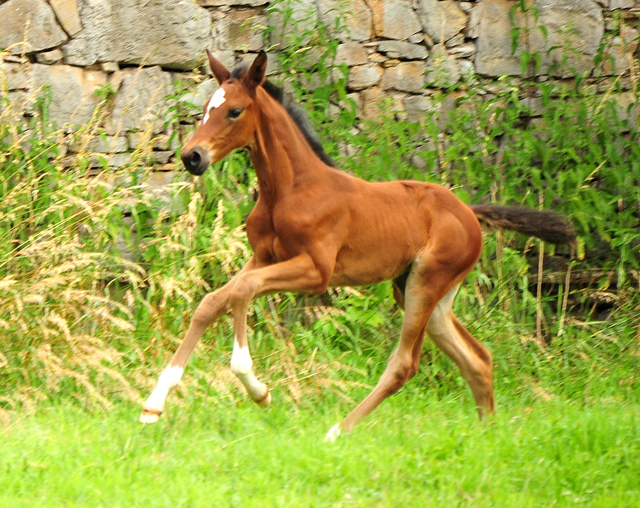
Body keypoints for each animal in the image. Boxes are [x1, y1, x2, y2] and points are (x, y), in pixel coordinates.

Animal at [141, 51, 576, 440]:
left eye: (234, 111)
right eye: (205, 109)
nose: (192, 156)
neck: (289, 189)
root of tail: (468, 211)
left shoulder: (316, 271)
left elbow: (241, 292)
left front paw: (258, 389)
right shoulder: (264, 257)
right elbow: (213, 301)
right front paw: (154, 404)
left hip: (427, 283)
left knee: (405, 364)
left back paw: (337, 431)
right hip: (421, 291)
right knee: (478, 359)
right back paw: (487, 435)